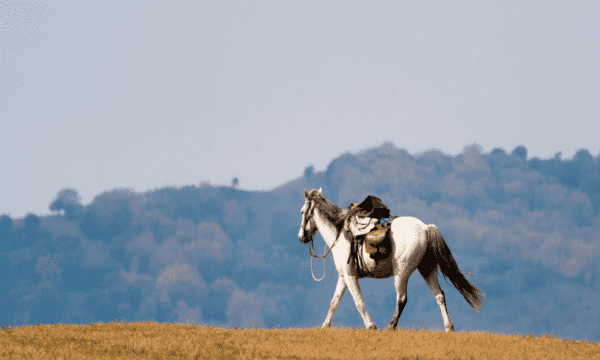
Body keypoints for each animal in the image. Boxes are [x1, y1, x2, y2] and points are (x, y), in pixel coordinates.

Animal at [298, 188, 486, 332]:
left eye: (302, 211)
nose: (301, 237)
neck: (340, 234)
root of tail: (425, 228)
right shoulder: (343, 278)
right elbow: (334, 302)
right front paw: (324, 326)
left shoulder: (350, 277)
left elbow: (359, 302)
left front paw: (370, 326)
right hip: (427, 269)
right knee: (439, 295)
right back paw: (449, 327)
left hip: (402, 272)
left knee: (402, 298)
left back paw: (390, 326)